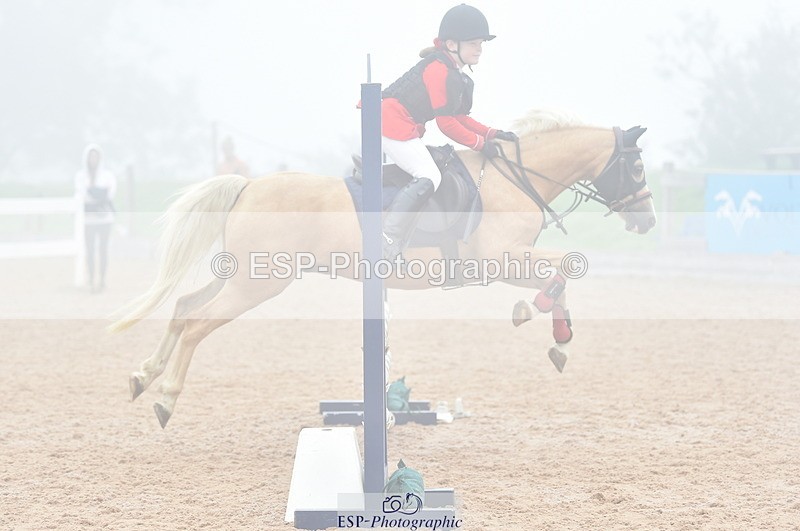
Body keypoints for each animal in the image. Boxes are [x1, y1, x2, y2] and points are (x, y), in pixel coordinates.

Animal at [110, 110, 656, 428]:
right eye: (635, 167)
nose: (648, 221)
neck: (512, 179)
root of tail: (249, 185)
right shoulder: (500, 259)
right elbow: (567, 267)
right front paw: (537, 314)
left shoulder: (508, 260)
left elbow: (566, 271)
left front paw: (559, 338)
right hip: (257, 284)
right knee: (197, 324)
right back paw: (166, 399)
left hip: (242, 276)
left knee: (184, 306)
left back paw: (143, 377)